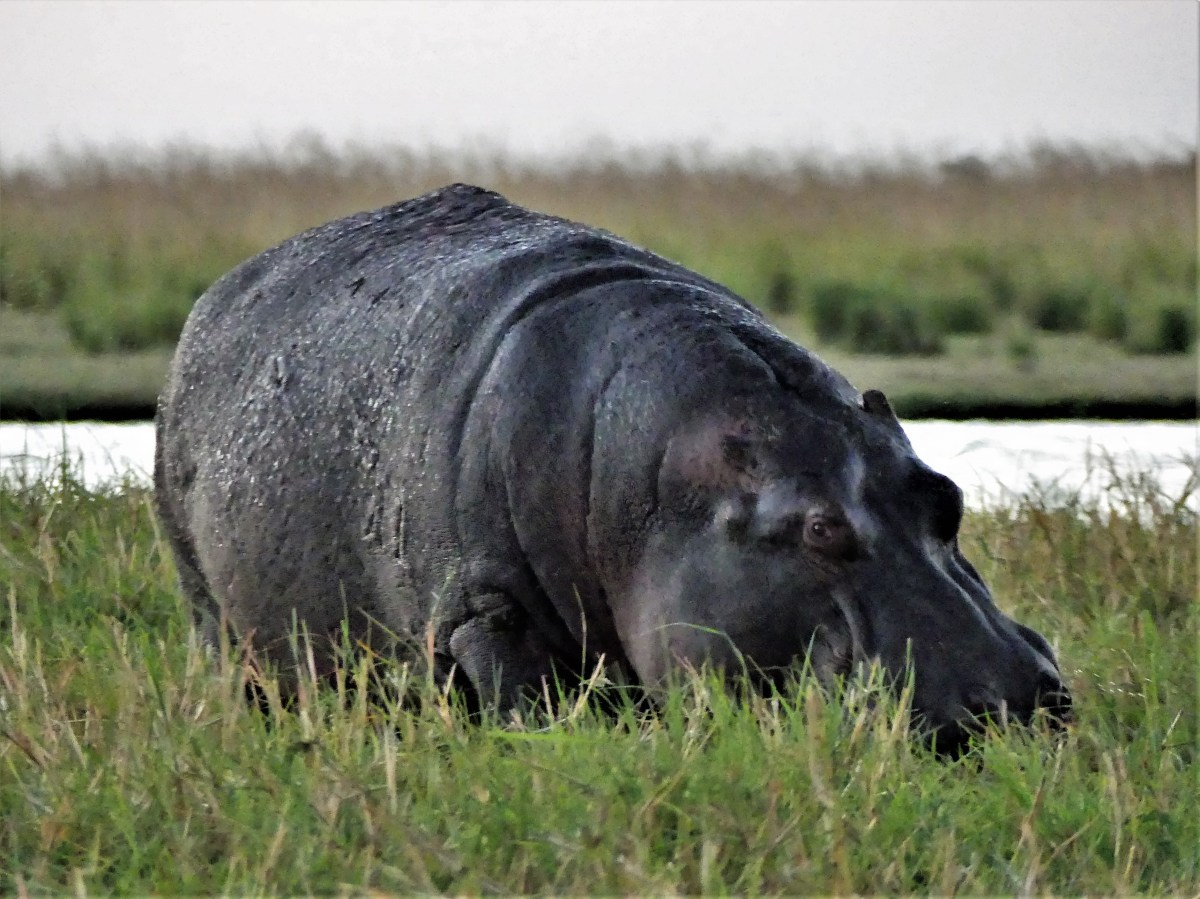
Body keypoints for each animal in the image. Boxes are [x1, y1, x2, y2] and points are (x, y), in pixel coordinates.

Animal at [154, 183, 1071, 751]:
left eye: (948, 497)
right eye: (819, 527)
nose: (1014, 697)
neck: (663, 480)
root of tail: (212, 299)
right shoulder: (486, 615)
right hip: (213, 613)